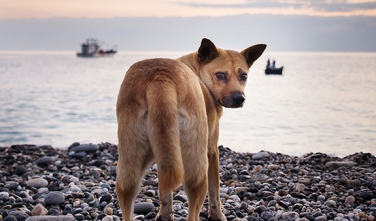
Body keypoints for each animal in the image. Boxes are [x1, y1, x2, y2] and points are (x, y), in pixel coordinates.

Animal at [116, 38, 266, 220]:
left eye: (243, 76)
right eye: (220, 75)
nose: (239, 98)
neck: (197, 71)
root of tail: (160, 78)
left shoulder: (166, 157)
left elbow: (165, 191)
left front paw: (165, 214)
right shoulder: (212, 151)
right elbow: (215, 191)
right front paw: (218, 214)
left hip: (131, 161)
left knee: (127, 192)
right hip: (197, 166)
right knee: (194, 209)